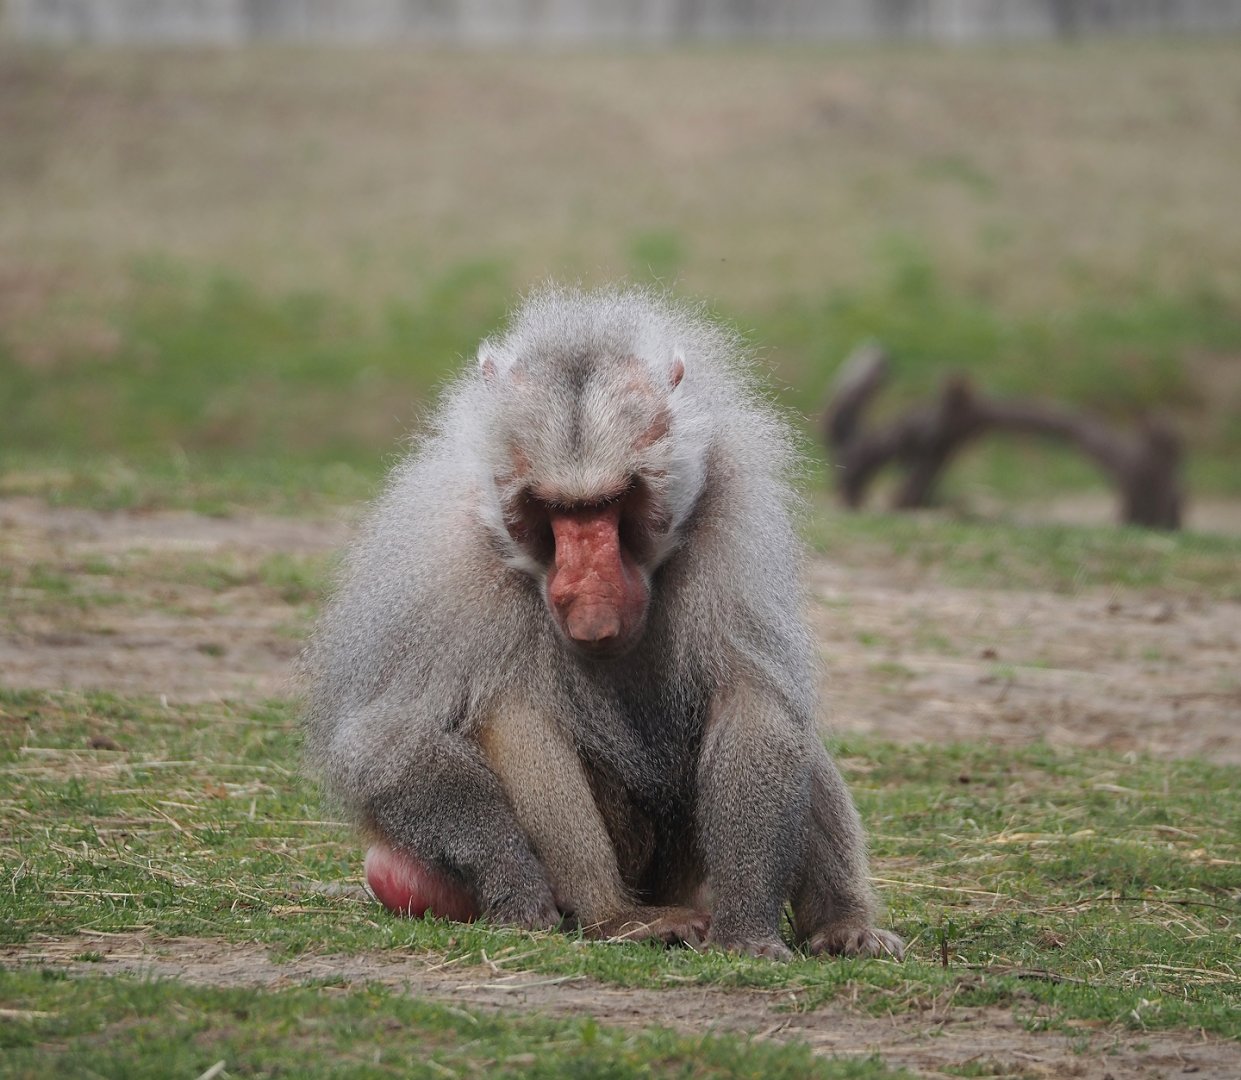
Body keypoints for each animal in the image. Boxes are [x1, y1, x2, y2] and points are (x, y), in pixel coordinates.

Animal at [300, 285, 904, 960]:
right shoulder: (441, 567)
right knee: (511, 712)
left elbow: (756, 704)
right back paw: (614, 917)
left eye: (613, 503)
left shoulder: (730, 516)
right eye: (553, 509)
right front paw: (515, 883)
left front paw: (748, 930)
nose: (589, 590)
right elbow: (384, 743)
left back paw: (841, 926)